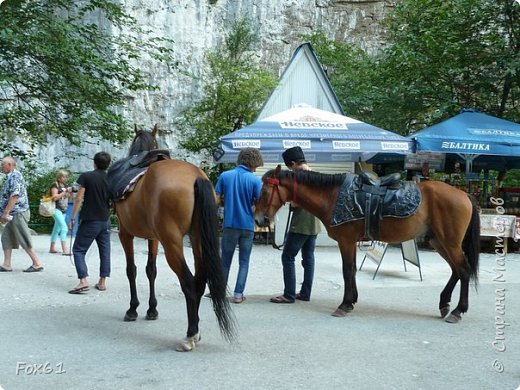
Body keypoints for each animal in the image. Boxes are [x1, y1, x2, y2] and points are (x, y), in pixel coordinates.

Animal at [112, 126, 237, 352]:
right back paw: (196, 331)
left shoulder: (125, 233)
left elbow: (131, 270)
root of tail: (196, 176)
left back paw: (190, 335)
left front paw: (133, 309)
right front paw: (151, 310)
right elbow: (151, 270)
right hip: (197, 239)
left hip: (172, 243)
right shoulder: (153, 238)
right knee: (199, 281)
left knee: (188, 282)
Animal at [253, 165, 480, 322]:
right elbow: (352, 270)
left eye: (264, 192)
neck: (333, 195)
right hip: (439, 242)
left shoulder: (346, 241)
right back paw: (444, 304)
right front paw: (352, 300)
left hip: (449, 243)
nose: (259, 220)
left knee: (463, 270)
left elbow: (347, 270)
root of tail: (465, 194)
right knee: (456, 270)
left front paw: (344, 305)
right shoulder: (351, 242)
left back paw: (458, 311)